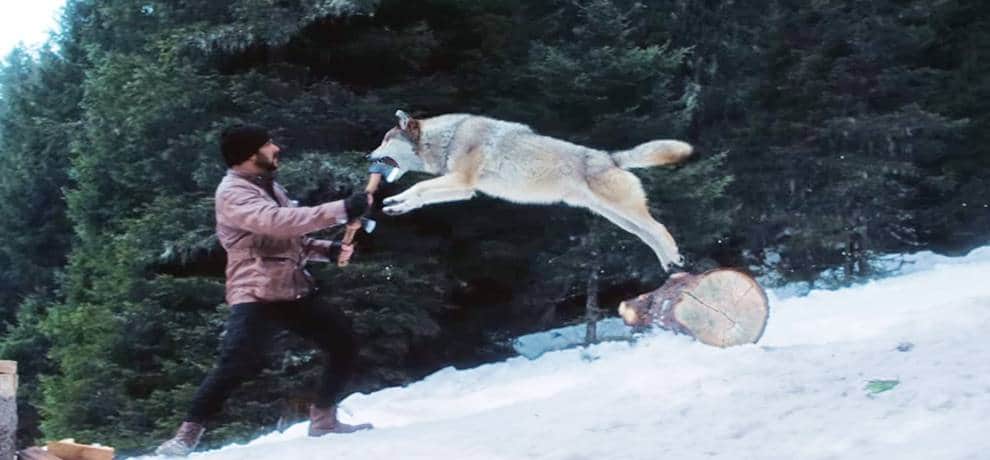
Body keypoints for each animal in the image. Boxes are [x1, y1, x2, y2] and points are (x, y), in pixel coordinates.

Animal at [368, 110, 693, 271]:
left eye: (384, 140)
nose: (368, 156)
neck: (448, 138)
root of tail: (611, 157)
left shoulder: (461, 180)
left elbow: (419, 185)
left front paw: (396, 199)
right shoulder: (464, 189)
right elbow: (420, 195)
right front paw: (396, 204)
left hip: (625, 210)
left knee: (659, 228)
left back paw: (676, 258)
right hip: (619, 219)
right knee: (647, 235)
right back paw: (669, 264)